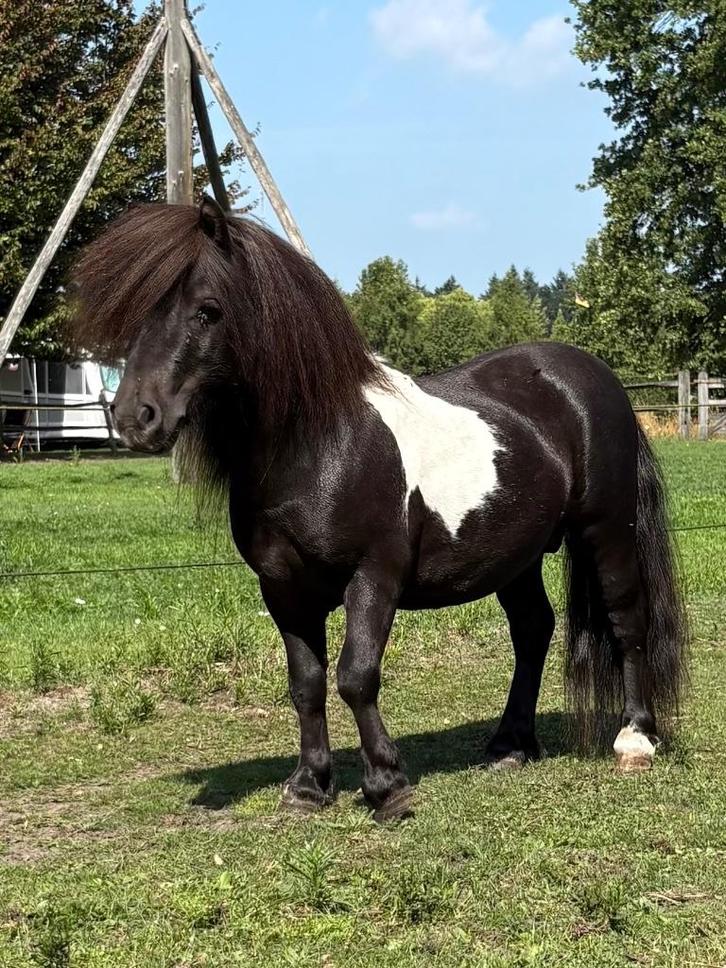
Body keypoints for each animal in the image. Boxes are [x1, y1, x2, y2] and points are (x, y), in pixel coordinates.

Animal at [70, 196, 687, 821]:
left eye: (208, 311)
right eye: (139, 311)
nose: (134, 417)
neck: (321, 446)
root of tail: (594, 377)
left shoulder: (373, 577)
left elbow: (356, 676)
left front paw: (388, 786)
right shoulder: (282, 588)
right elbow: (307, 683)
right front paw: (308, 786)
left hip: (606, 531)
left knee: (627, 620)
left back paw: (635, 739)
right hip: (518, 556)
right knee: (534, 630)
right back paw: (511, 745)